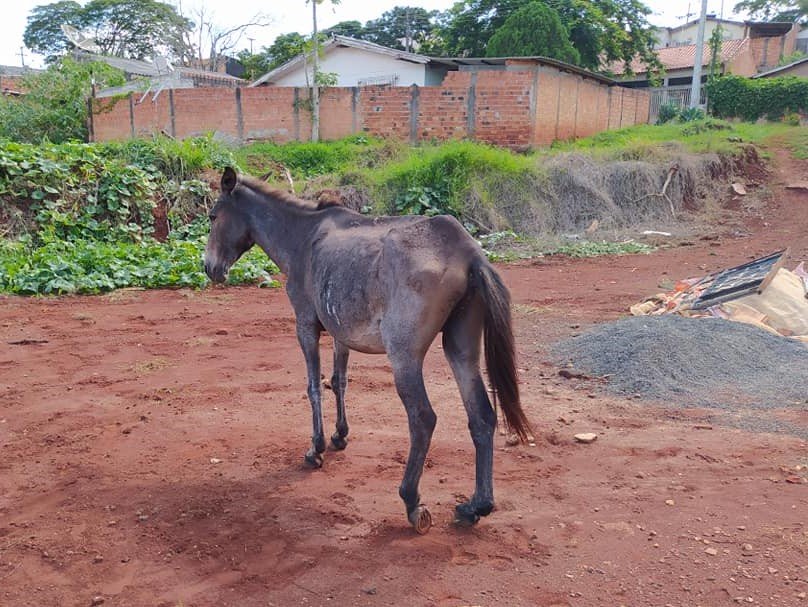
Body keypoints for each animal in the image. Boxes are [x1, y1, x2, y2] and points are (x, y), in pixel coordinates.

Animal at [204, 169, 532, 536]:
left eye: (213, 216)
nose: (209, 268)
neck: (302, 236)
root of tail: (468, 252)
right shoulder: (340, 333)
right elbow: (339, 381)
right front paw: (339, 435)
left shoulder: (305, 325)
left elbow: (314, 386)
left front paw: (316, 448)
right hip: (461, 350)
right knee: (482, 417)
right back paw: (475, 506)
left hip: (404, 358)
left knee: (423, 419)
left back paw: (411, 500)